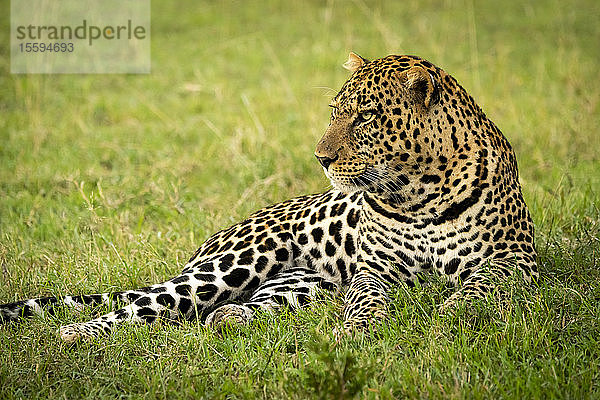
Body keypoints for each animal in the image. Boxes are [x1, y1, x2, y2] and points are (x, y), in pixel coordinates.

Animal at [0, 53, 540, 340]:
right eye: (335, 111)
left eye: (366, 117)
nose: (320, 157)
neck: (419, 190)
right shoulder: (373, 269)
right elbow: (366, 298)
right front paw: (358, 327)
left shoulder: (517, 258)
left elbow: (481, 284)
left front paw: (453, 312)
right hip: (226, 269)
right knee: (141, 305)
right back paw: (74, 334)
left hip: (304, 285)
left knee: (229, 310)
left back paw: (232, 320)